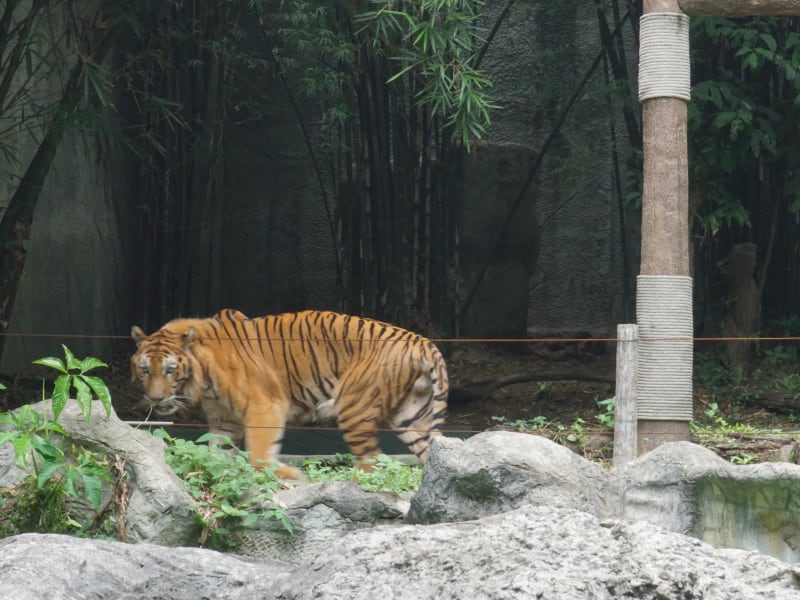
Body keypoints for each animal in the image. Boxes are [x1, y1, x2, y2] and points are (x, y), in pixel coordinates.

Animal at [128, 310, 446, 478]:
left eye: (170, 370)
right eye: (145, 371)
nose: (155, 399)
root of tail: (420, 341)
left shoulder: (265, 406)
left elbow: (259, 456)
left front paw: (293, 477)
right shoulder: (224, 419)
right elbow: (218, 454)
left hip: (354, 407)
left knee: (371, 461)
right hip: (411, 416)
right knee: (431, 453)